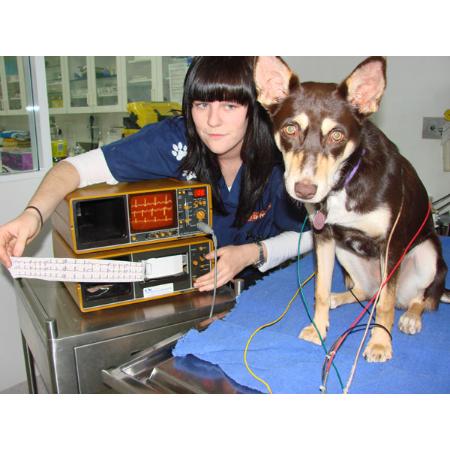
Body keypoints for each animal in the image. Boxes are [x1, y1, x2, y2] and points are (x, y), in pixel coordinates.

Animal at [254, 56, 449, 362]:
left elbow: (386, 304)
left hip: (428, 254)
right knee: (364, 293)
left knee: (418, 299)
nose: (305, 190)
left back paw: (411, 317)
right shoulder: (323, 237)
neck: (343, 182)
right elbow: (320, 290)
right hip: (345, 254)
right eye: (290, 129)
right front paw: (318, 328)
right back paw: (340, 297)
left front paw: (380, 343)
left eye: (337, 135)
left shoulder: (391, 243)